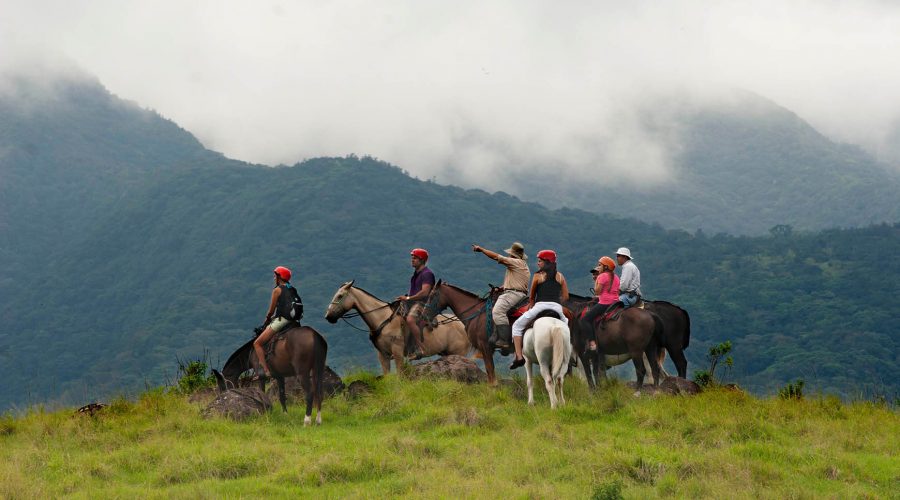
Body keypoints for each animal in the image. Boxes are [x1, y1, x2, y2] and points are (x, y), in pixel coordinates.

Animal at [326, 282, 474, 376]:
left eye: (340, 296)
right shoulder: (382, 355)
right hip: (447, 353)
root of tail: (463, 324)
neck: (383, 319)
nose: (328, 316)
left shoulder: (397, 352)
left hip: (459, 352)